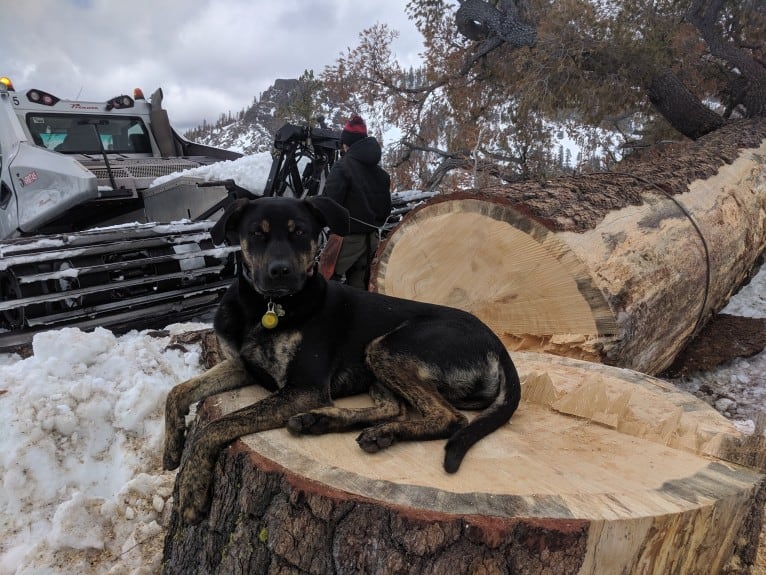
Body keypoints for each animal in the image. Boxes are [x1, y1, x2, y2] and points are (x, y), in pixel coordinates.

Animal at [162, 196, 520, 524]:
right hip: (379, 363)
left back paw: (372, 430)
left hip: (388, 347)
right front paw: (172, 448)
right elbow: (178, 391)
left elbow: (217, 425)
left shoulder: (303, 389)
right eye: (256, 233)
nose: (281, 272)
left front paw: (191, 490)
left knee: (450, 418)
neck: (266, 308)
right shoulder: (241, 366)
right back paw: (326, 422)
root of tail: (498, 345)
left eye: (300, 232)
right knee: (395, 407)